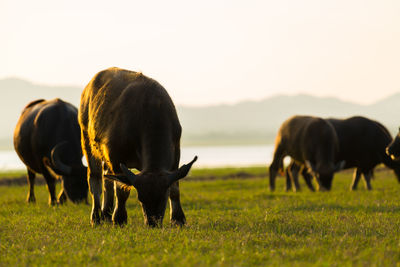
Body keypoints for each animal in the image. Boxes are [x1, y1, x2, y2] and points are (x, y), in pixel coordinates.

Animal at [79, 67, 198, 228]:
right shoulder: (115, 157)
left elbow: (175, 188)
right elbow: (121, 190)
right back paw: (96, 217)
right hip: (87, 142)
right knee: (95, 179)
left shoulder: (176, 154)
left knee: (106, 180)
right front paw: (119, 218)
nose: (152, 223)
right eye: (141, 199)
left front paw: (178, 219)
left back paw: (106, 215)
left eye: (163, 198)